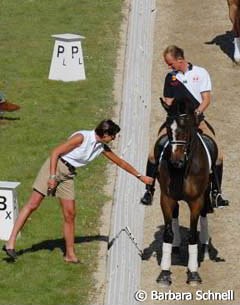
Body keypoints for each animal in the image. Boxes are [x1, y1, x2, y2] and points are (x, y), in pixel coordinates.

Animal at [155, 97, 213, 284]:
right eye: (168, 128)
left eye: (186, 127)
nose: (175, 162)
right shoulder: (166, 198)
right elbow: (167, 233)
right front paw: (165, 273)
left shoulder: (196, 201)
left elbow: (193, 235)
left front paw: (193, 273)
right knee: (175, 215)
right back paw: (176, 246)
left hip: (205, 196)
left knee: (204, 215)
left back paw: (205, 248)